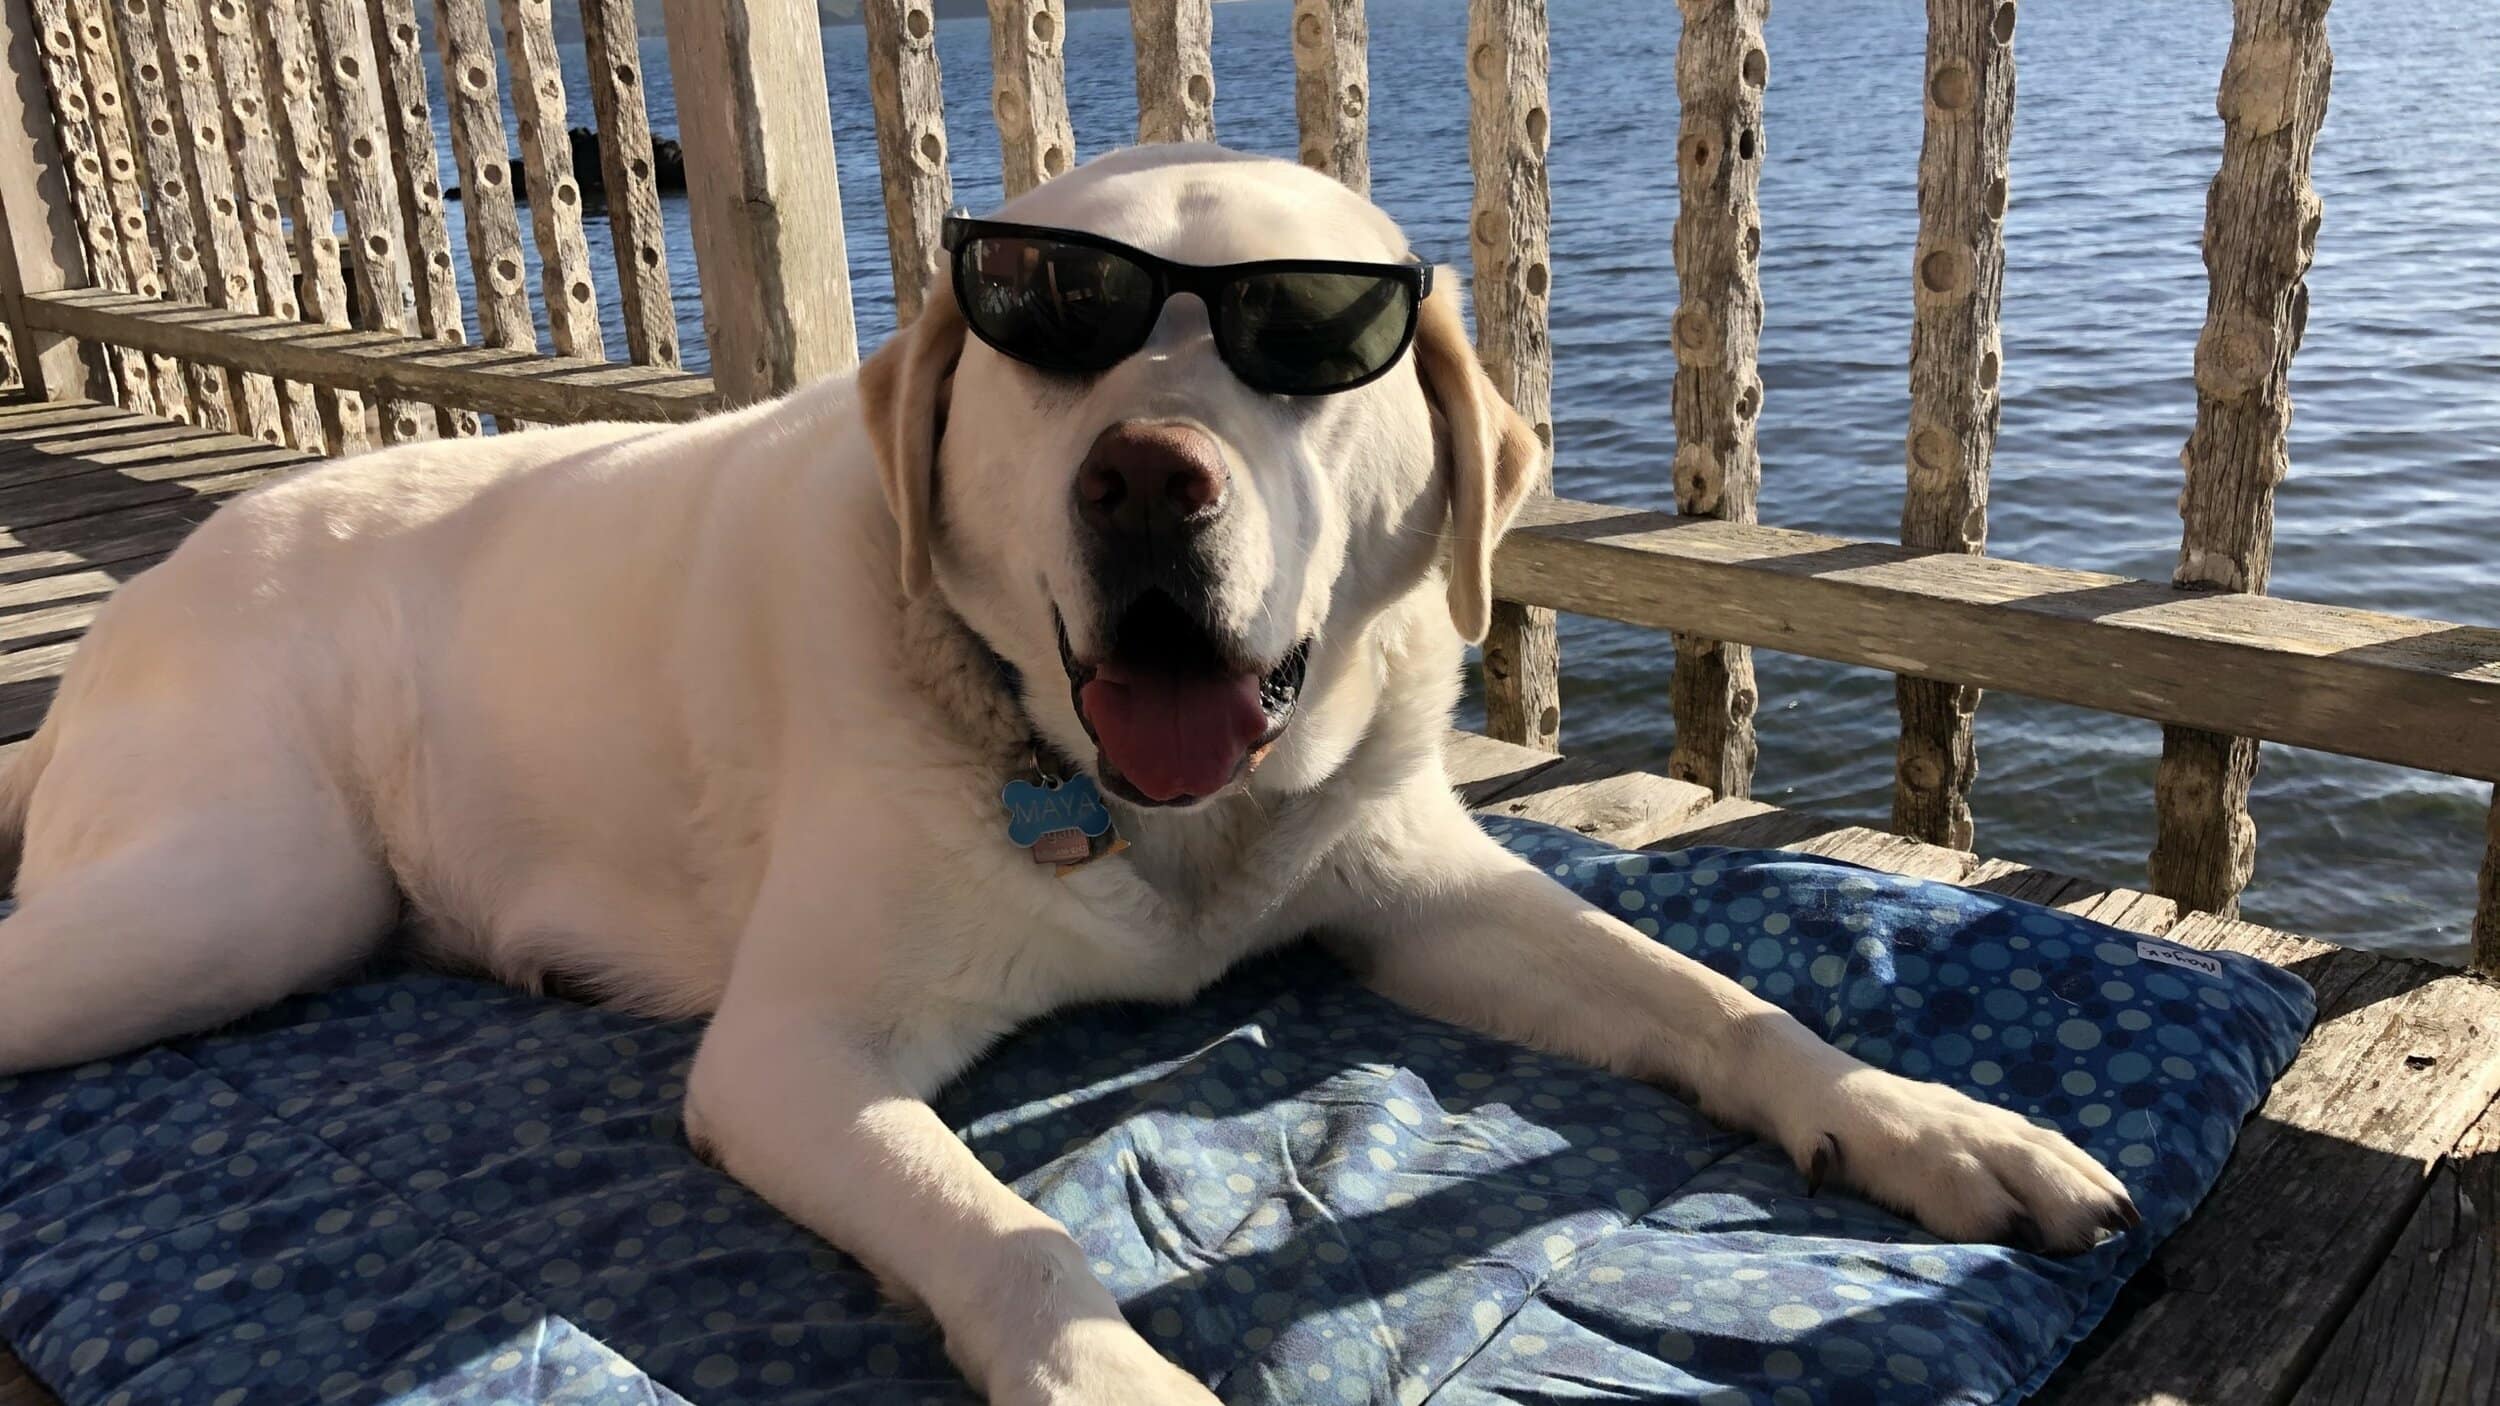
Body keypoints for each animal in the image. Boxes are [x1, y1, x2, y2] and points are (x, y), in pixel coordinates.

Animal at [0, 145, 2130, 1400]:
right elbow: (1010, 1235)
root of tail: (163, 582)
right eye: (1045, 329)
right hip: (244, 893)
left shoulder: (1418, 888)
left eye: (1305, 342)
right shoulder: (793, 1056)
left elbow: (1721, 1001)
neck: (1146, 812)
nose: (1144, 481)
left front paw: (1930, 1121)